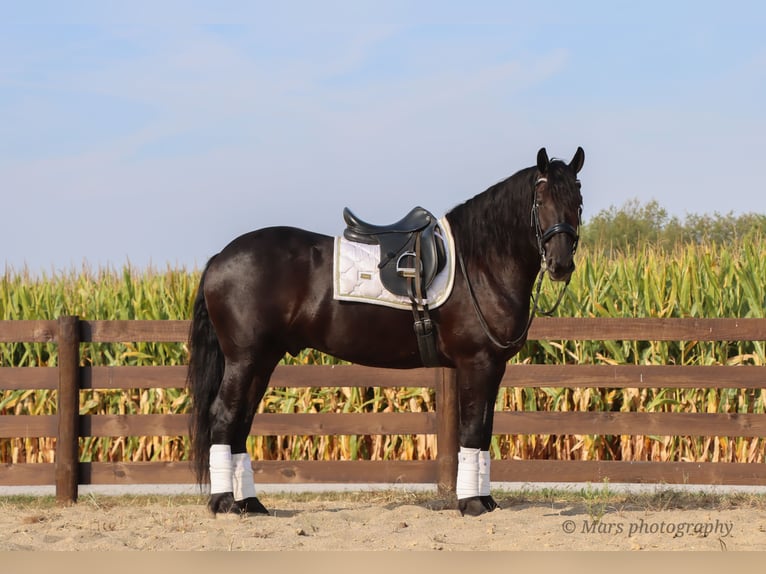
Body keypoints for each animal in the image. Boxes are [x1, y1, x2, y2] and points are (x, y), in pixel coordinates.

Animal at [187, 146, 585, 517]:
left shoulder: (493, 367)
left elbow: (484, 432)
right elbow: (472, 431)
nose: (561, 264)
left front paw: (486, 501)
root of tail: (220, 258)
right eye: (540, 201)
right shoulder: (477, 363)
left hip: (263, 359)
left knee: (241, 422)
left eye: (577, 201)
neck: (480, 263)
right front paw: (472, 504)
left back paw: (250, 503)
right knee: (224, 416)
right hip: (244, 359)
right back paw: (224, 502)